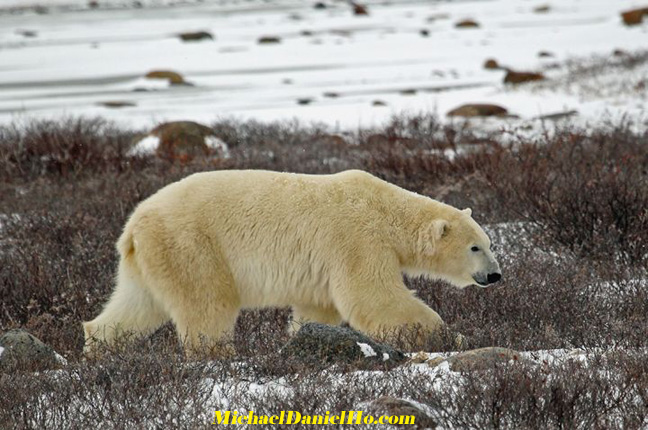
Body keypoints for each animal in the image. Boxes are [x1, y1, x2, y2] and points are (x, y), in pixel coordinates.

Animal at [85, 170, 502, 358]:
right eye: (475, 247)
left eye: (489, 243)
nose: (495, 275)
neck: (385, 209)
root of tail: (133, 225)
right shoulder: (357, 238)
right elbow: (372, 296)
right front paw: (452, 336)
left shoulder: (324, 267)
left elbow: (318, 307)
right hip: (191, 245)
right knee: (207, 305)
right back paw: (219, 356)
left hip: (150, 259)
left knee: (136, 306)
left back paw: (98, 349)